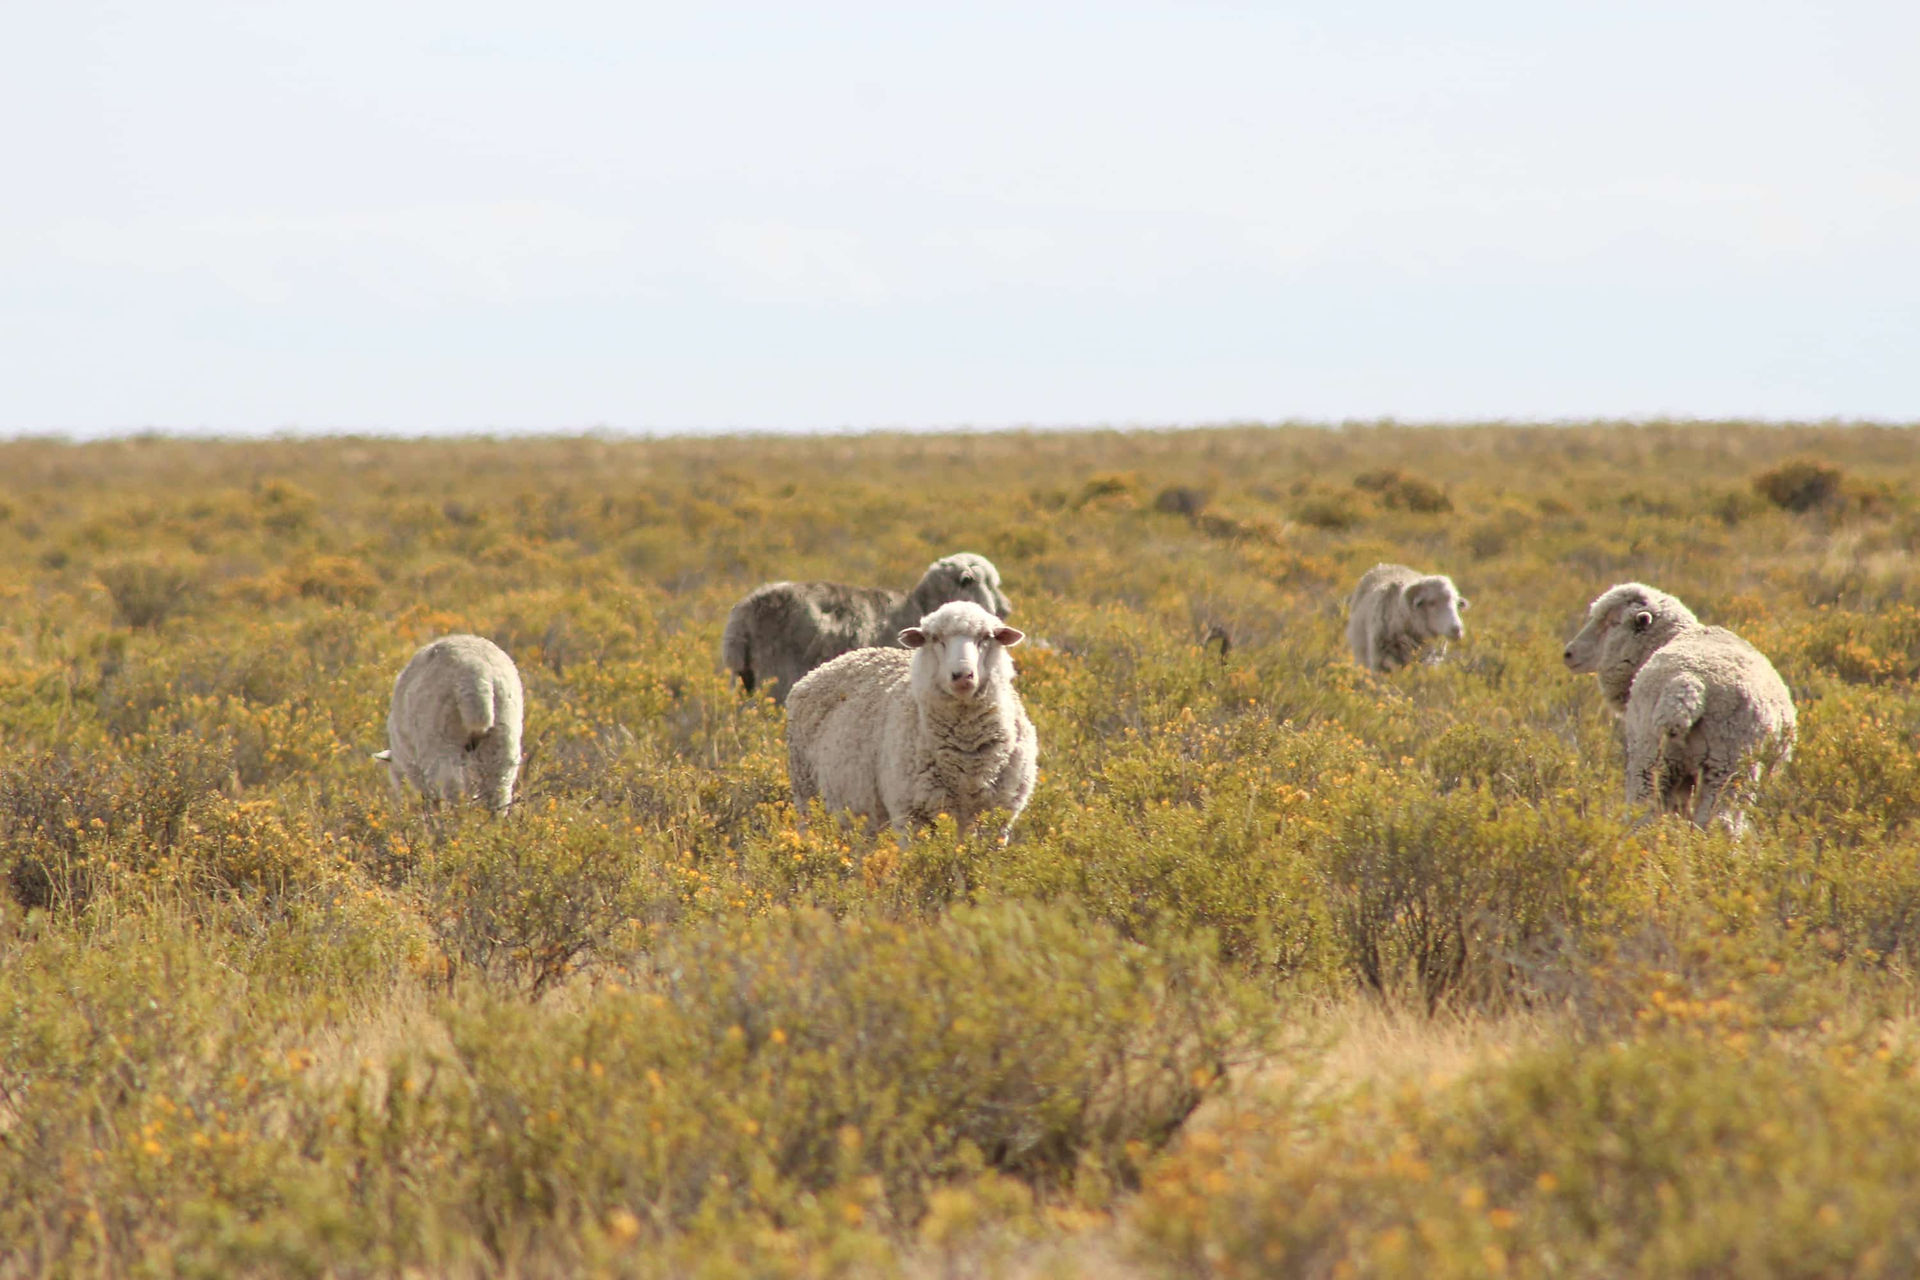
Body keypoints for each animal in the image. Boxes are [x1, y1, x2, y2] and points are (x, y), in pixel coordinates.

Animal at [721, 553, 1012, 705]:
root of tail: (744, 613)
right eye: (988, 583)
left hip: (745, 677)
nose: (1006, 608)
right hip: (776, 675)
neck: (922, 604)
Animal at [785, 600, 1037, 842]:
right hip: (806, 792)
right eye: (935, 638)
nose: (962, 675)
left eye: (985, 637)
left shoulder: (1000, 817)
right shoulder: (909, 814)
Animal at [1563, 583, 1796, 830]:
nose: (1568, 653)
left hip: (1657, 753)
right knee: (1717, 820)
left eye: (1612, 622)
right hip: (1726, 763)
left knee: (1648, 811)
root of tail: (1688, 681)